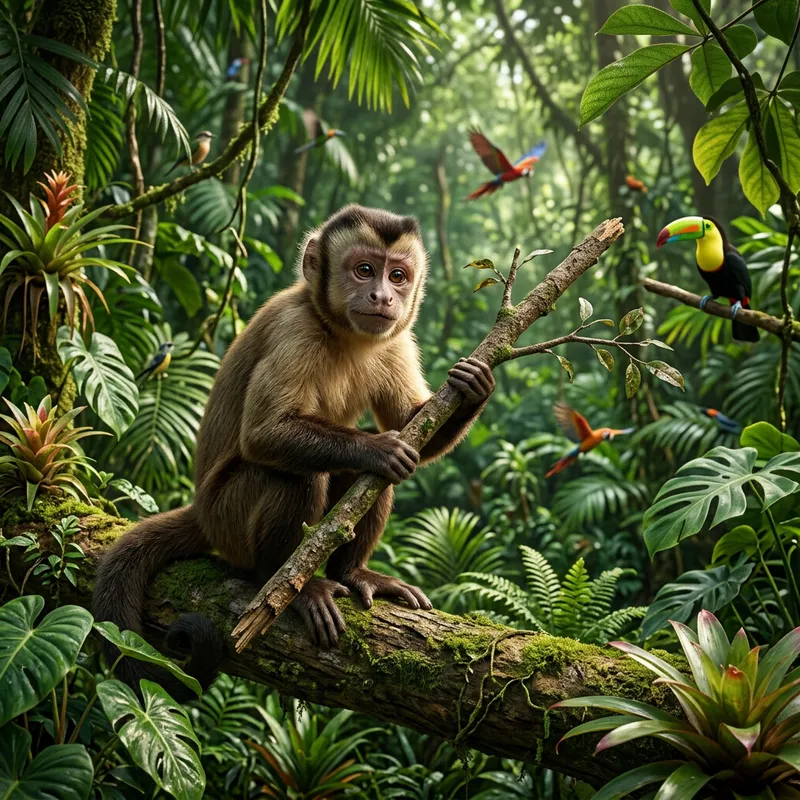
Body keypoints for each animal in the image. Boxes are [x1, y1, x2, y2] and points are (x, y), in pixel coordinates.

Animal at [92, 205, 495, 697]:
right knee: (294, 477)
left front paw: (474, 386)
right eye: (365, 270)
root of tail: (201, 512)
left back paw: (351, 574)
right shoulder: (294, 329)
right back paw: (283, 585)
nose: (383, 296)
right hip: (227, 520)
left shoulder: (397, 338)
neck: (339, 331)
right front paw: (377, 448)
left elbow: (414, 422)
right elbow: (264, 434)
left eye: (398, 276)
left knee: (362, 483)